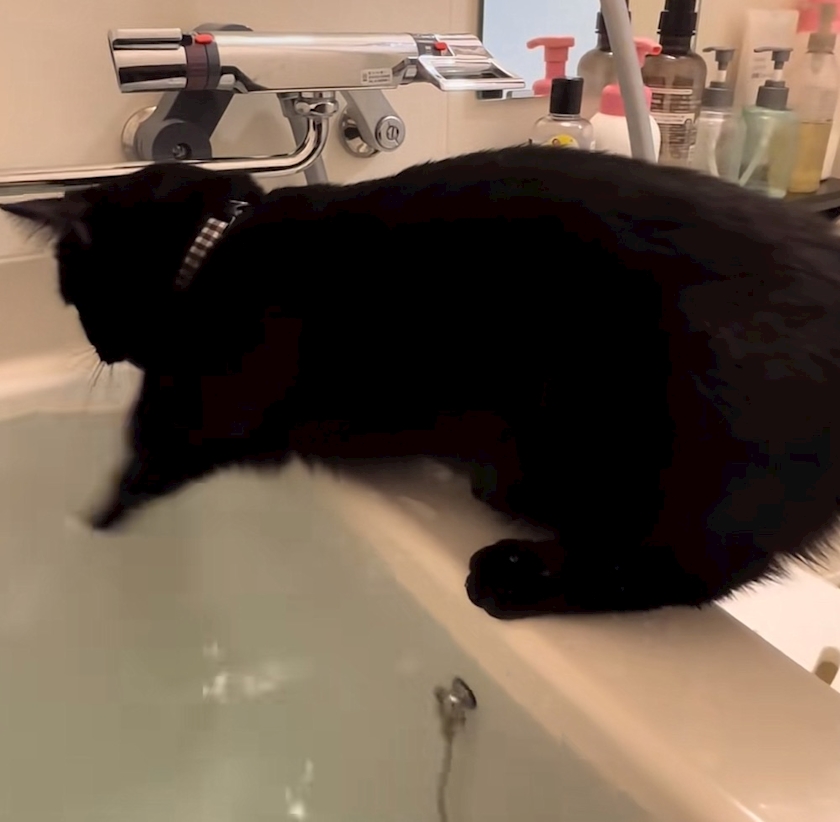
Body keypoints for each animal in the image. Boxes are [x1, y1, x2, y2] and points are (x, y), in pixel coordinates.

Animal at [6, 145, 840, 620]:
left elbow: (146, 445)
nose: (99, 350)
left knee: (679, 568)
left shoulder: (214, 397)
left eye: (74, 297)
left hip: (648, 434)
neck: (219, 248)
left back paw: (515, 576)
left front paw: (91, 524)